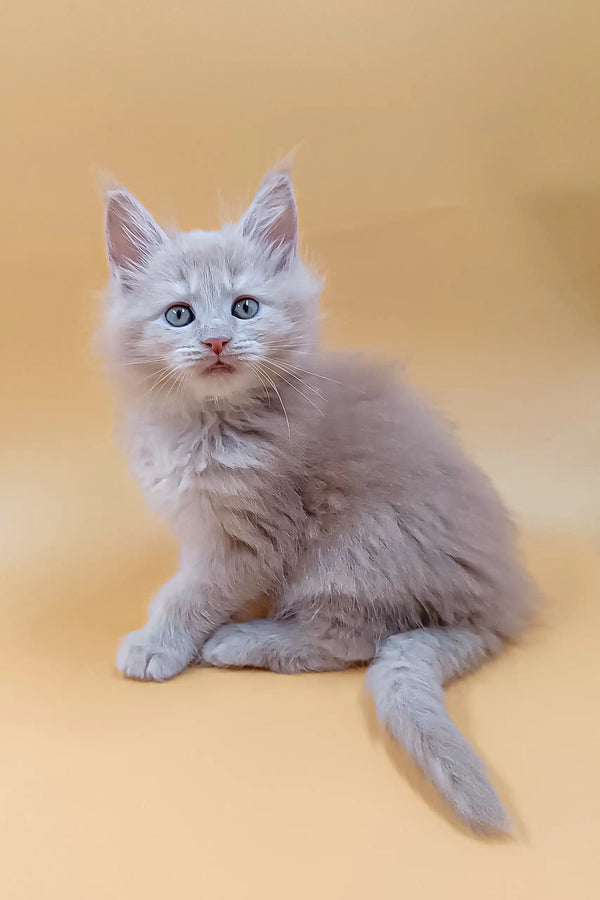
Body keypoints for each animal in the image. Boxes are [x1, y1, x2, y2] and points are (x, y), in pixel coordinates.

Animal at [99, 167, 536, 828]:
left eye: (244, 307)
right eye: (179, 315)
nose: (219, 341)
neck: (213, 426)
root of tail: (495, 608)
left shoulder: (248, 538)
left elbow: (190, 594)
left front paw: (158, 644)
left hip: (358, 547)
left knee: (348, 640)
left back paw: (244, 640)